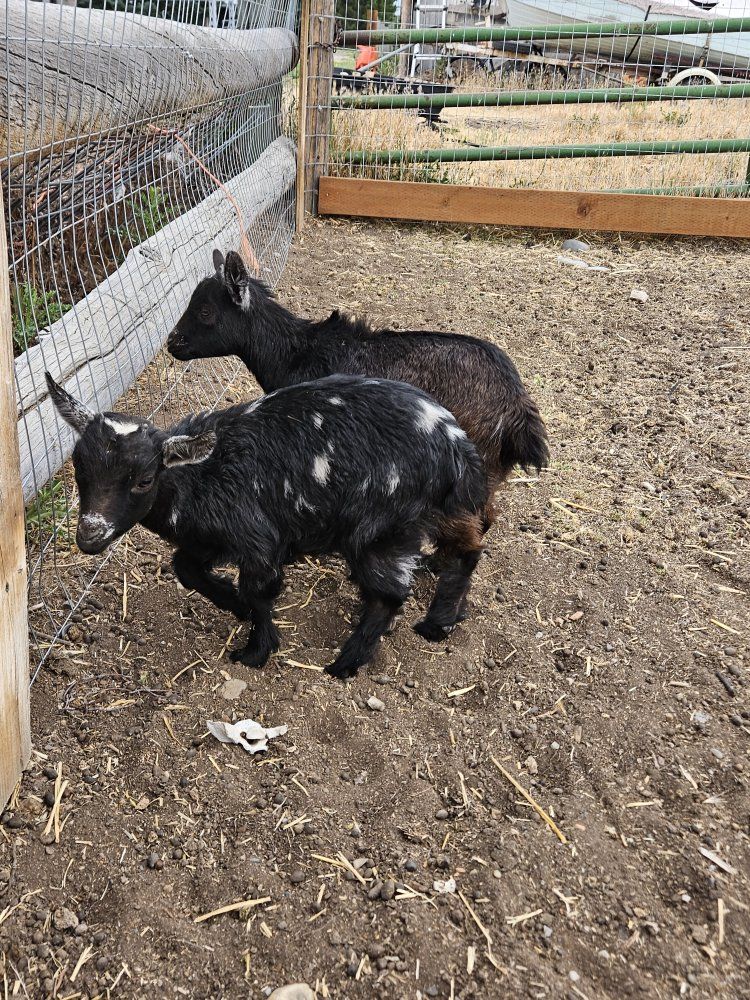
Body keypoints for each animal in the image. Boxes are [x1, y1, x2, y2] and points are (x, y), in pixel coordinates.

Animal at [46, 371, 487, 680]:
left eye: (143, 479)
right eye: (79, 469)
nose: (90, 535)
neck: (201, 477)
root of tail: (455, 445)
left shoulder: (257, 541)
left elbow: (259, 592)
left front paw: (255, 652)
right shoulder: (209, 538)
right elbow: (186, 568)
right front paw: (234, 606)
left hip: (380, 528)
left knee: (390, 593)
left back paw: (346, 662)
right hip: (435, 513)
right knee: (466, 550)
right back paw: (441, 622)